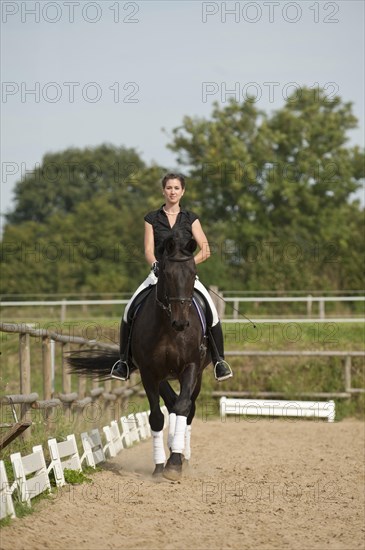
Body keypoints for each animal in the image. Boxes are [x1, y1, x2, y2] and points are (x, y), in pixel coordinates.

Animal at [67, 237, 210, 484]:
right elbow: (157, 417)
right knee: (171, 404)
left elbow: (183, 407)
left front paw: (175, 464)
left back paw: (183, 456)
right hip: (162, 377)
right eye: (167, 274)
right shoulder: (149, 373)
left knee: (187, 409)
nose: (181, 323)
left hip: (197, 375)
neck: (168, 328)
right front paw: (161, 466)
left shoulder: (190, 367)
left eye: (193, 273)